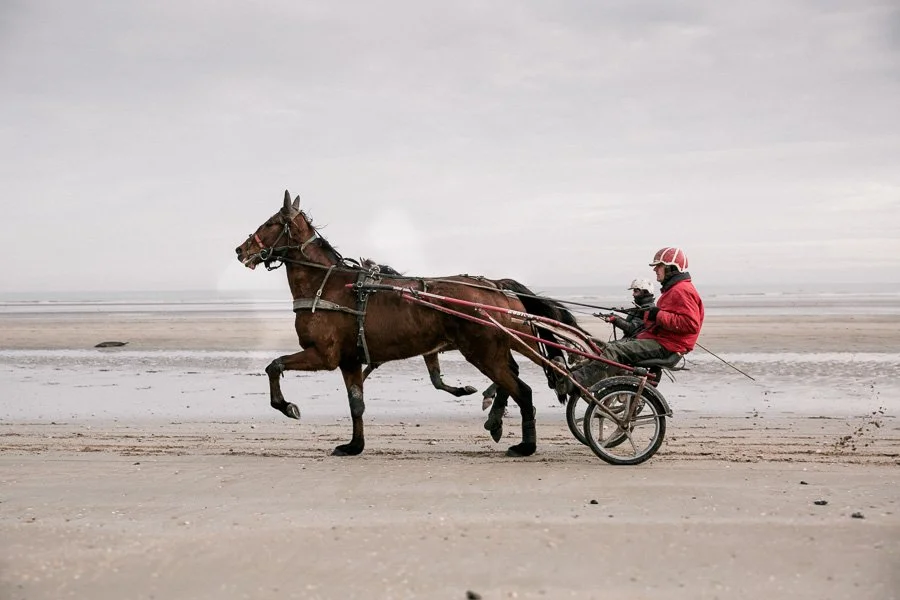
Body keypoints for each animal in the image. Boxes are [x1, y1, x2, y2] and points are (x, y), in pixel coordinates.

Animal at [234, 190, 582, 457]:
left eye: (270, 223)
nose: (240, 250)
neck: (327, 286)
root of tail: (494, 286)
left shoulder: (324, 355)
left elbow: (274, 366)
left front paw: (286, 405)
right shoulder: (349, 360)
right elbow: (356, 404)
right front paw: (354, 446)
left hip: (485, 352)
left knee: (522, 390)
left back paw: (525, 445)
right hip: (505, 343)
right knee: (517, 378)